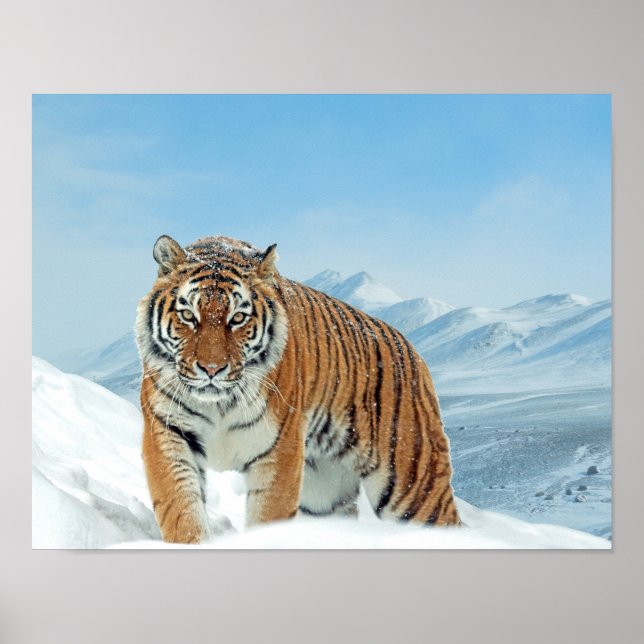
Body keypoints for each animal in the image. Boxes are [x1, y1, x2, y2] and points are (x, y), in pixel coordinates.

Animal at [136, 234, 460, 544]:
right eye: (188, 316)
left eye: (238, 318)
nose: (212, 369)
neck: (219, 404)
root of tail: (412, 350)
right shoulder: (167, 433)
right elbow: (181, 510)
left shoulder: (279, 449)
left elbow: (268, 517)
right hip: (324, 493)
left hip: (413, 484)